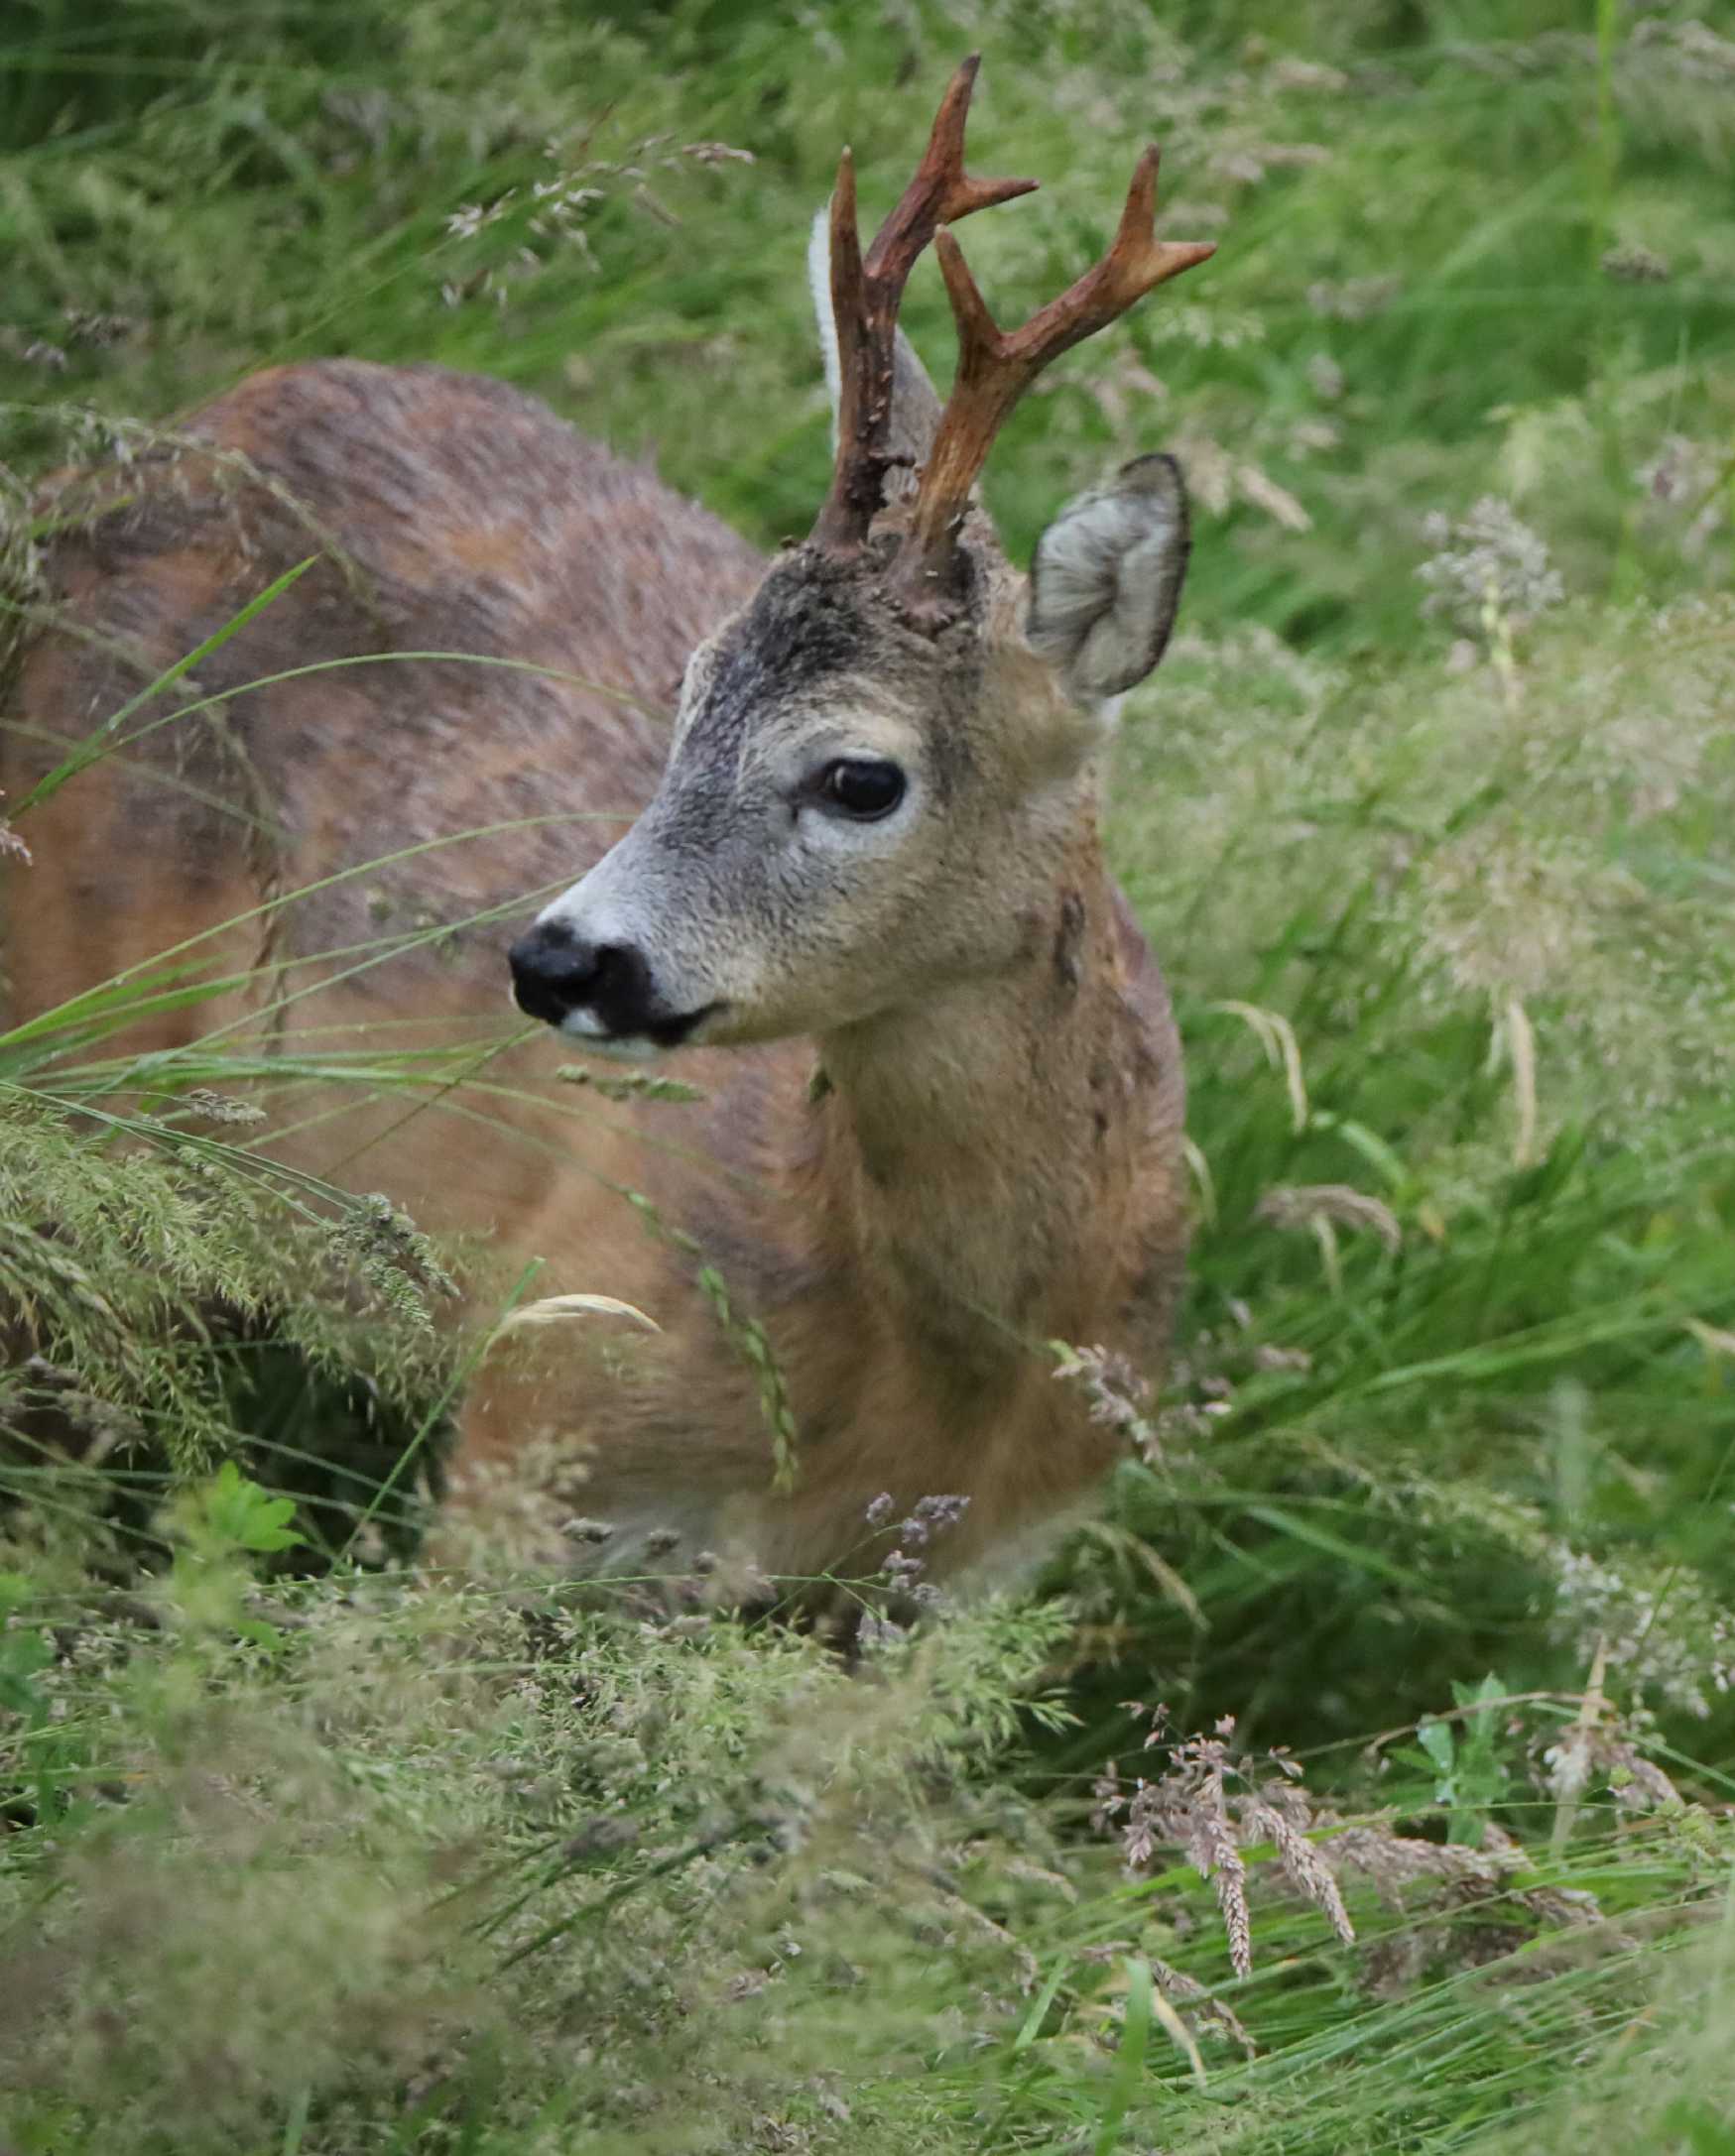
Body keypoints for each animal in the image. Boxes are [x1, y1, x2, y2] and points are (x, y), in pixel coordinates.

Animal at [3, 59, 1206, 1587]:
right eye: (687, 692)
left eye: (859, 776)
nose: (556, 959)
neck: (930, 1387)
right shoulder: (538, 1406)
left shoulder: (985, 1570)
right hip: (78, 1020)